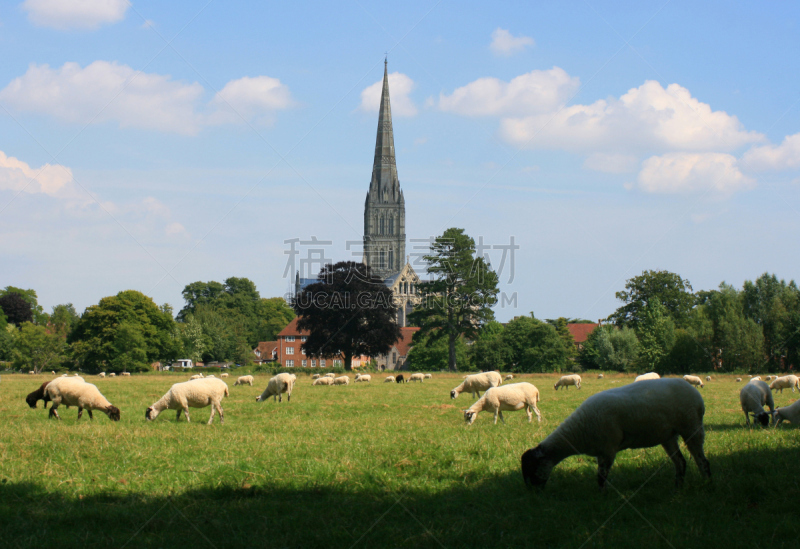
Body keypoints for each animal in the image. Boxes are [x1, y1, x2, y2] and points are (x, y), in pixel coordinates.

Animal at [520, 378, 712, 490]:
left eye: (532, 467)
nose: (533, 493)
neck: (578, 431)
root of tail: (696, 394)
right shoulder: (600, 452)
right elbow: (600, 476)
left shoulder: (608, 449)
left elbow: (601, 477)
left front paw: (602, 499)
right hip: (668, 435)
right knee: (680, 462)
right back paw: (677, 488)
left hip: (691, 426)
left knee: (702, 461)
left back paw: (706, 484)